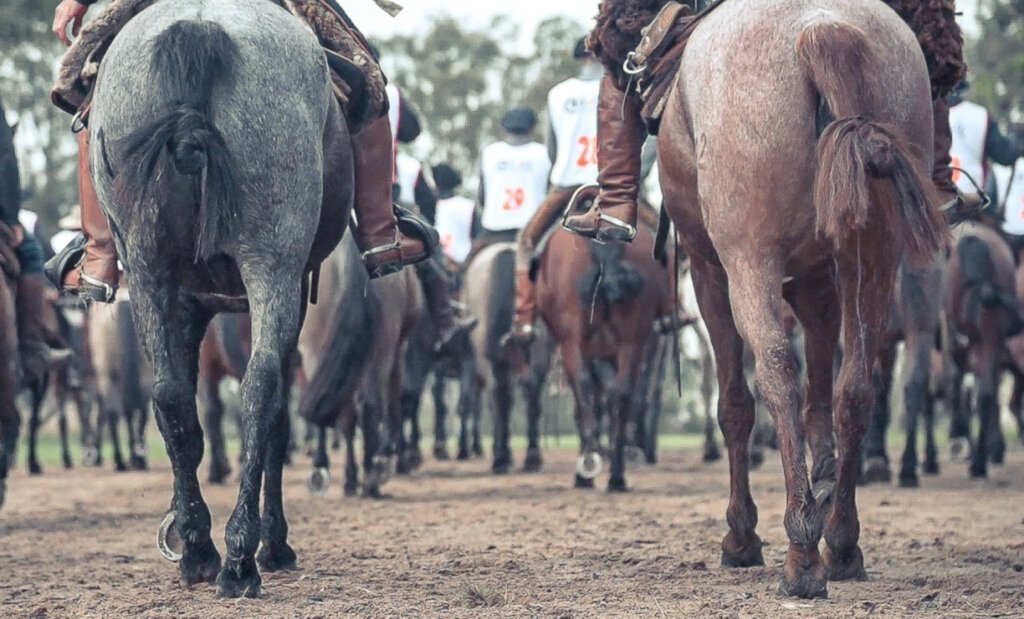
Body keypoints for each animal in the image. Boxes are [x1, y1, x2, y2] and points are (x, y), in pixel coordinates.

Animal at [88, 0, 352, 598]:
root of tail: (199, 30)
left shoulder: (186, 300)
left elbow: (182, 408)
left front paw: (187, 532)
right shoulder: (286, 291)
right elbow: (274, 416)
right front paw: (274, 542)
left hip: (148, 267)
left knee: (170, 397)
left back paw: (202, 551)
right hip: (272, 262)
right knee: (261, 391)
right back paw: (242, 556)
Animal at [536, 210, 671, 489]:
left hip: (573, 343)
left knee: (586, 389)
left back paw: (589, 463)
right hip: (632, 343)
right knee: (623, 394)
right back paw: (617, 474)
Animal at [655, 0, 942, 598]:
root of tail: (821, 31)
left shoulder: (709, 270)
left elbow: (736, 404)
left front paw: (741, 537)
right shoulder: (818, 280)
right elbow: (821, 397)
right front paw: (826, 486)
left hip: (749, 260)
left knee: (775, 373)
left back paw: (801, 554)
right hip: (875, 253)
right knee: (855, 387)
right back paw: (842, 542)